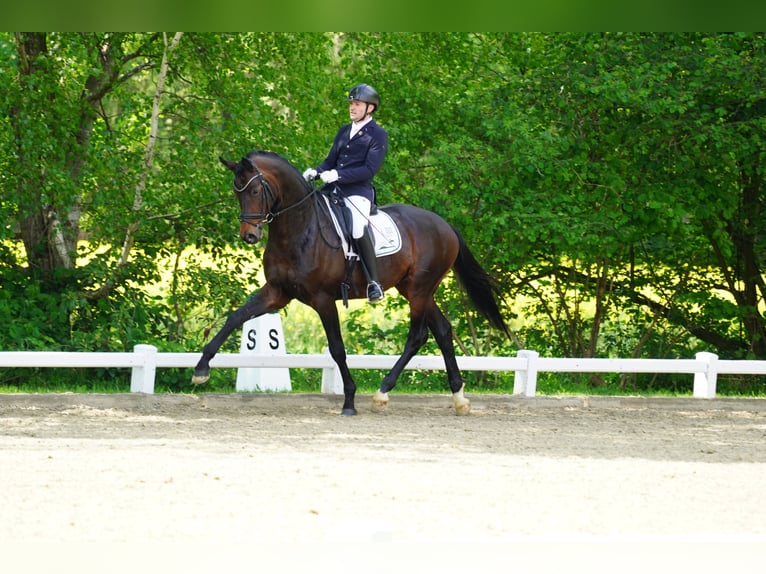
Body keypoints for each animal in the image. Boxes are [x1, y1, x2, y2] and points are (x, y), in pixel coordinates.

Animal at [194, 151, 510, 416]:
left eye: (255, 190)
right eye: (236, 192)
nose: (249, 235)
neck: (299, 228)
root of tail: (444, 225)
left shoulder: (322, 299)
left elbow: (336, 348)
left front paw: (349, 400)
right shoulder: (277, 293)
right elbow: (235, 318)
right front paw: (201, 368)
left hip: (420, 289)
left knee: (417, 336)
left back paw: (383, 393)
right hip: (414, 289)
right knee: (443, 331)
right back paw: (458, 398)